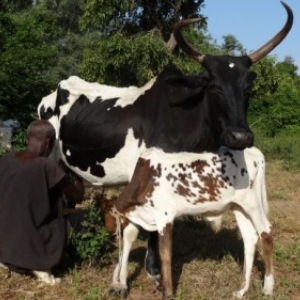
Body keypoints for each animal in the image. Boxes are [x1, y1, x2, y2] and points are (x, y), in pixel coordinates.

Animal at [100, 146, 272, 298]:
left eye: (104, 215)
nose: (109, 232)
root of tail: (254, 152)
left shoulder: (165, 216)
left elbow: (165, 254)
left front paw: (168, 293)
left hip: (252, 203)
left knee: (266, 233)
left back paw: (268, 288)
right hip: (238, 206)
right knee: (249, 238)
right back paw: (242, 290)